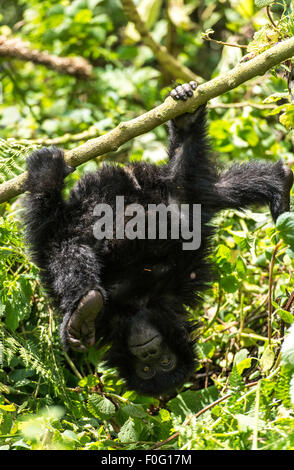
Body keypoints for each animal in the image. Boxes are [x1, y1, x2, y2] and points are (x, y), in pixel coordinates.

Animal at [24, 81, 292, 396]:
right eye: (148, 367)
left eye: (161, 364)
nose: (149, 353)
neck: (139, 307)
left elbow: (48, 245)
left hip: (166, 195)